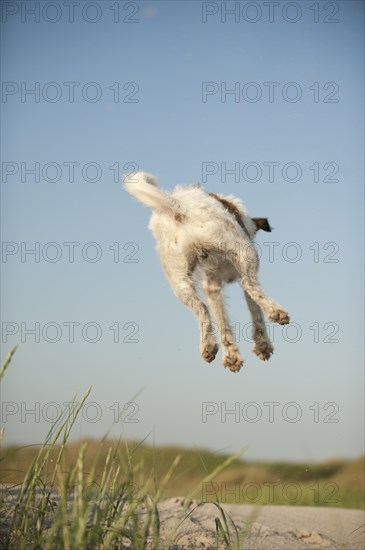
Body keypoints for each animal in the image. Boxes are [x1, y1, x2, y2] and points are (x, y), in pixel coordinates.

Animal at [123, 170, 288, 374]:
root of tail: (178, 205)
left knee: (201, 308)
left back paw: (215, 348)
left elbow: (221, 319)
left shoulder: (211, 287)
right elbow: (254, 309)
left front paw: (232, 354)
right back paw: (277, 312)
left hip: (178, 278)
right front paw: (262, 345)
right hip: (244, 252)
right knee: (251, 286)